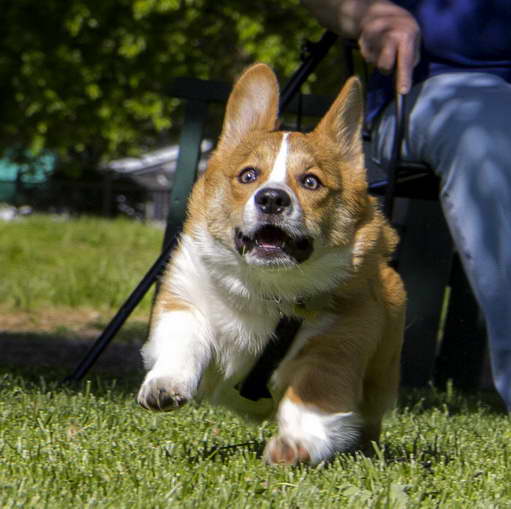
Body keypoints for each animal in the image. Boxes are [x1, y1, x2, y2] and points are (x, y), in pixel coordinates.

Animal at [137, 63, 408, 464]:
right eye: (249, 175)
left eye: (310, 181)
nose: (272, 199)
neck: (267, 287)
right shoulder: (184, 297)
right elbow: (183, 336)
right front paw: (164, 384)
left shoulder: (336, 347)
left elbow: (312, 397)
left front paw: (297, 444)